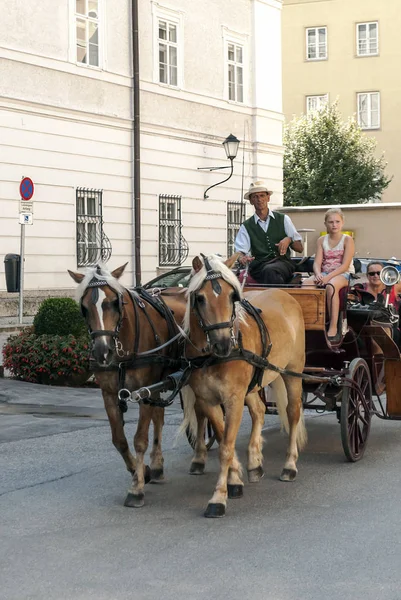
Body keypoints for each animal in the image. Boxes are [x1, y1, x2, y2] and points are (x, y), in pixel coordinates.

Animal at [68, 262, 188, 506]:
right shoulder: (109, 393)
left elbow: (139, 439)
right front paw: (142, 471)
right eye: (84, 307)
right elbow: (119, 440)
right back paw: (157, 466)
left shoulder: (144, 392)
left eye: (116, 302)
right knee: (159, 419)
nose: (102, 352)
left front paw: (136, 488)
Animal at [182, 252, 306, 516]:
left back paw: (289, 465)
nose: (222, 344)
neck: (213, 357)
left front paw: (219, 497)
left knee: (293, 412)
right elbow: (222, 438)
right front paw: (235, 479)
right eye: (200, 297)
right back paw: (255, 463)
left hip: (292, 372)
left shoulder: (234, 400)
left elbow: (226, 447)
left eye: (232, 296)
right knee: (259, 410)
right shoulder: (208, 400)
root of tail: (284, 293)